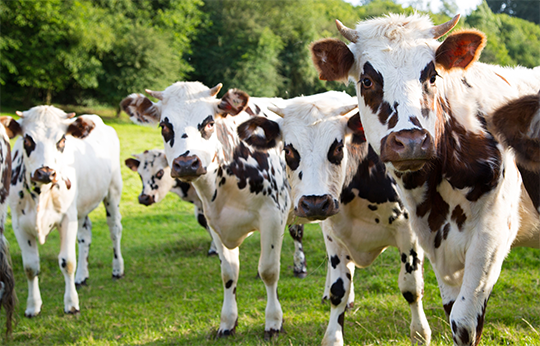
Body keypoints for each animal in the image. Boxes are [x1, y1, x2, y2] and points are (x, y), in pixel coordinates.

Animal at [5, 105, 124, 316]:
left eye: (61, 140)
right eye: (27, 139)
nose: (45, 172)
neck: (41, 193)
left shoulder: (67, 219)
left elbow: (67, 262)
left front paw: (71, 304)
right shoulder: (19, 224)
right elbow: (30, 267)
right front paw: (33, 306)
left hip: (113, 192)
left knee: (114, 230)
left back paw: (117, 269)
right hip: (82, 207)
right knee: (86, 234)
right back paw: (82, 276)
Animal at [122, 82, 308, 338]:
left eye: (209, 123)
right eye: (164, 126)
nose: (186, 163)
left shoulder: (273, 214)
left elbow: (269, 270)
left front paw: (273, 321)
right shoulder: (215, 221)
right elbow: (228, 273)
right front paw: (228, 322)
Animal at [236, 90, 430, 344]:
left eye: (337, 148)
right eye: (288, 150)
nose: (315, 203)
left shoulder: (409, 234)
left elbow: (411, 286)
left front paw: (419, 332)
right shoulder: (334, 236)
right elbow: (339, 290)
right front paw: (333, 335)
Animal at [310, 12, 540, 346]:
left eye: (432, 76)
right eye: (367, 80)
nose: (411, 141)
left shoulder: (491, 235)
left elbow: (463, 322)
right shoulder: (435, 240)